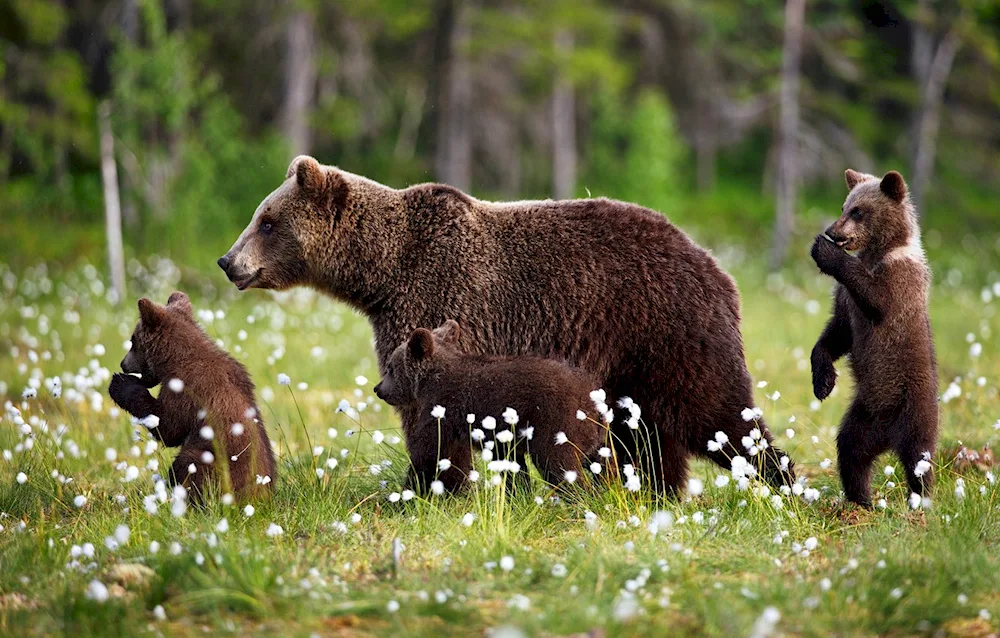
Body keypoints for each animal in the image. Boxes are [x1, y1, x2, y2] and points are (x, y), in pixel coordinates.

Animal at [221, 156, 796, 496]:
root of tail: (716, 265)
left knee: (717, 414)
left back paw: (782, 480)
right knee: (650, 433)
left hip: (668, 329)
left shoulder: (438, 299)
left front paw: (426, 487)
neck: (381, 275)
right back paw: (652, 490)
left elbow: (427, 415)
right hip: (631, 364)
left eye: (267, 222)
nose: (229, 262)